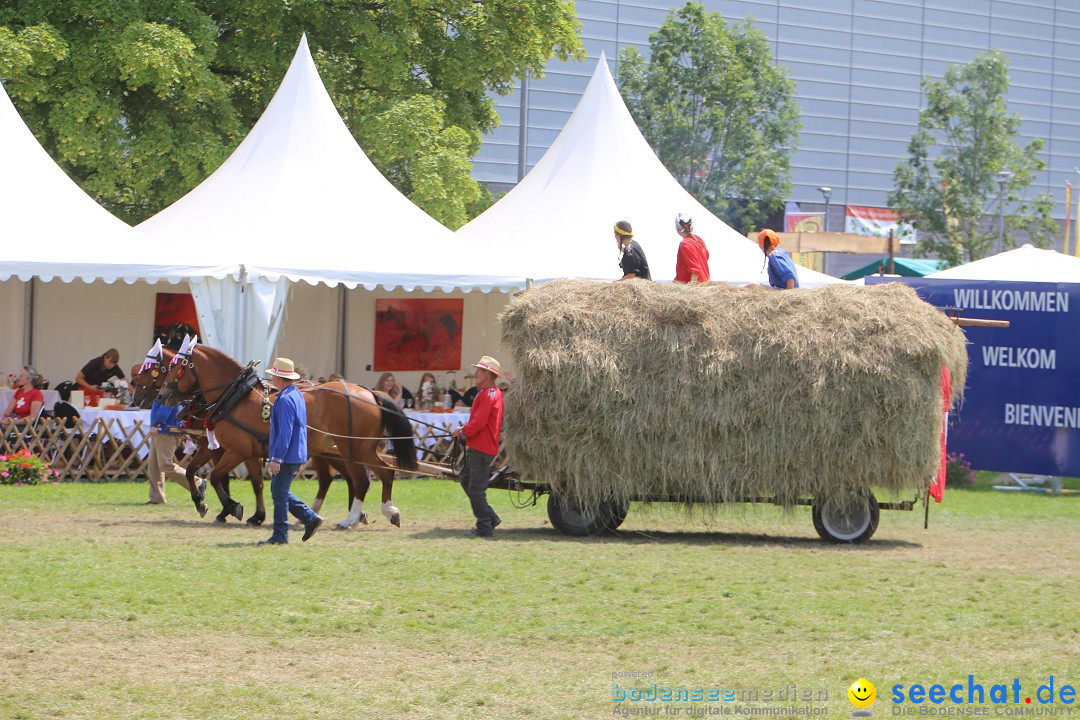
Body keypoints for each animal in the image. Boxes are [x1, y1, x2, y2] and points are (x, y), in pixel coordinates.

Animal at [156, 343, 416, 528]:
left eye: (175, 367)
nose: (161, 395)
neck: (235, 396)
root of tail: (370, 392)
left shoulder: (237, 450)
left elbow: (218, 477)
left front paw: (234, 507)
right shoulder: (224, 449)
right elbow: (193, 472)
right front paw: (203, 503)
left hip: (350, 448)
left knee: (361, 480)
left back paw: (351, 519)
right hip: (360, 449)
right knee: (383, 473)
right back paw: (388, 512)